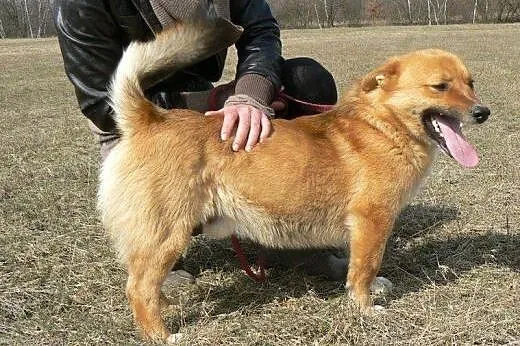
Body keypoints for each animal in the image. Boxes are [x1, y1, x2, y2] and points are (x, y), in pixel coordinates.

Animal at [96, 12, 488, 342]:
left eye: (470, 84)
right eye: (439, 86)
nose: (484, 112)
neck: (383, 126)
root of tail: (150, 117)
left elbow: (359, 265)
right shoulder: (372, 221)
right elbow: (365, 267)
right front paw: (364, 308)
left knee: (146, 282)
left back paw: (168, 306)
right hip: (168, 232)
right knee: (139, 287)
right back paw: (161, 334)